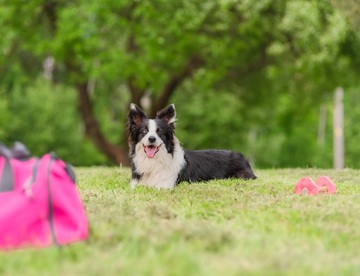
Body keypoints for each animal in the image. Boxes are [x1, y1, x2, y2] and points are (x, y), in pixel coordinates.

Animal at [126, 102, 256, 189]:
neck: (154, 162)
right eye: (144, 131)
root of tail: (241, 156)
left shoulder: (164, 185)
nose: (152, 139)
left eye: (160, 132)